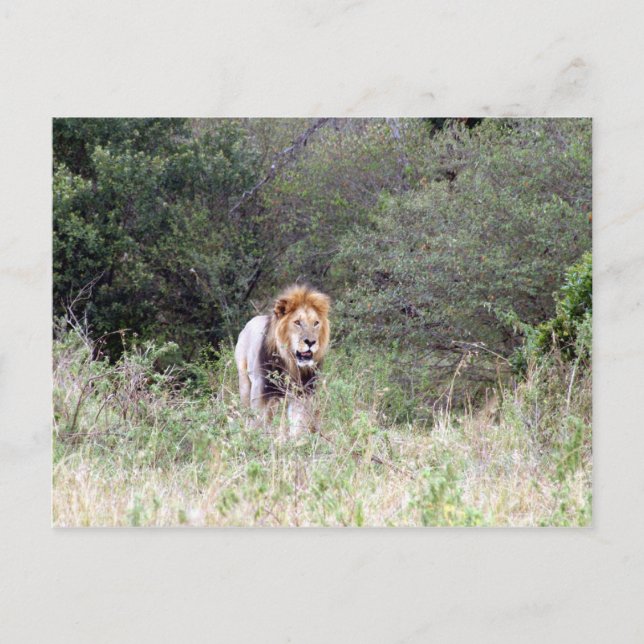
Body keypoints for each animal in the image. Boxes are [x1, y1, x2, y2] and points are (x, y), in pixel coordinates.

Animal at [235, 284, 330, 437]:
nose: (311, 342)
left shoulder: (301, 394)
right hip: (244, 381)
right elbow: (259, 421)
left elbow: (298, 424)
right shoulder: (261, 391)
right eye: (297, 322)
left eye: (316, 323)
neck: (291, 363)